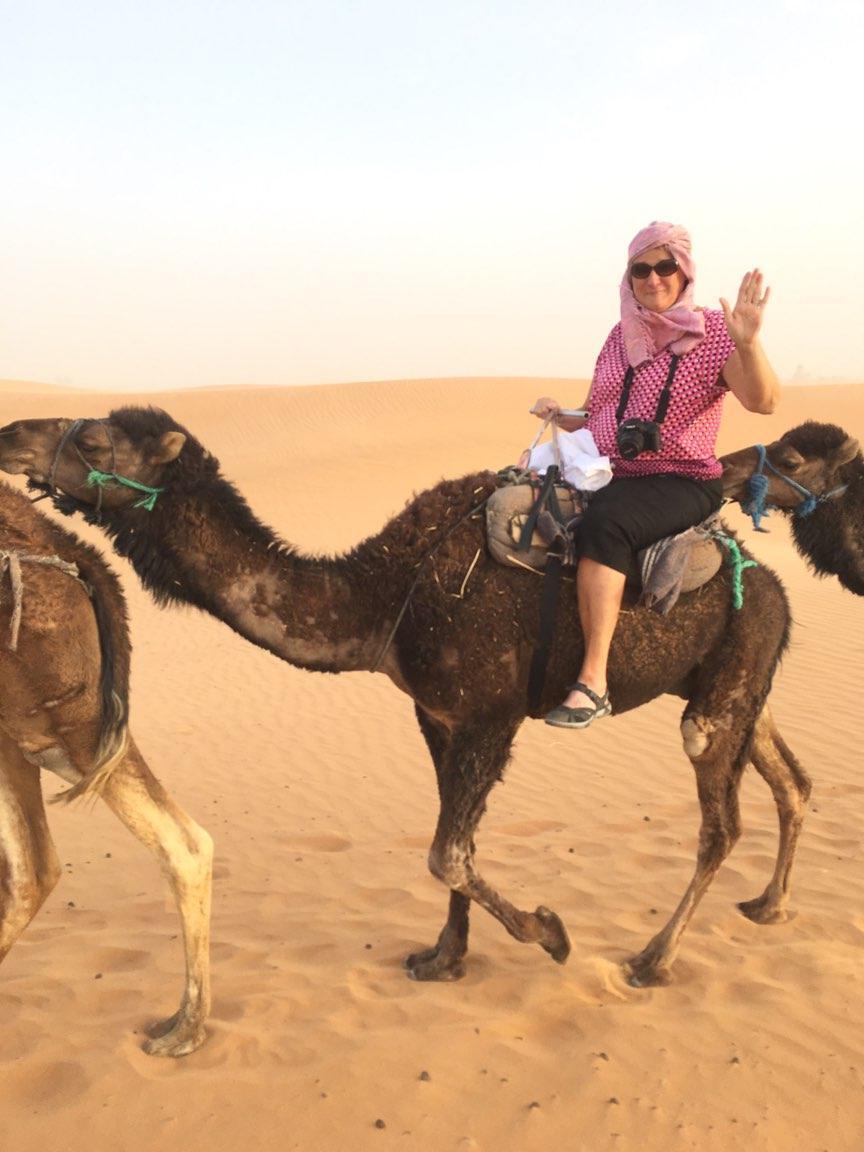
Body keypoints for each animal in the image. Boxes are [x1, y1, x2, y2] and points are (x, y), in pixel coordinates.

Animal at [0, 410, 820, 986]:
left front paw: (550, 933)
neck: (387, 593)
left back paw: (654, 959)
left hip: (727, 676)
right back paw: (770, 905)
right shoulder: (437, 715)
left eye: (96, 442)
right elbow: (452, 840)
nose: (11, 435)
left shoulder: (491, 715)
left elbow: (447, 853)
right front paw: (443, 957)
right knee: (787, 776)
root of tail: (772, 584)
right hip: (739, 680)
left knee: (718, 818)